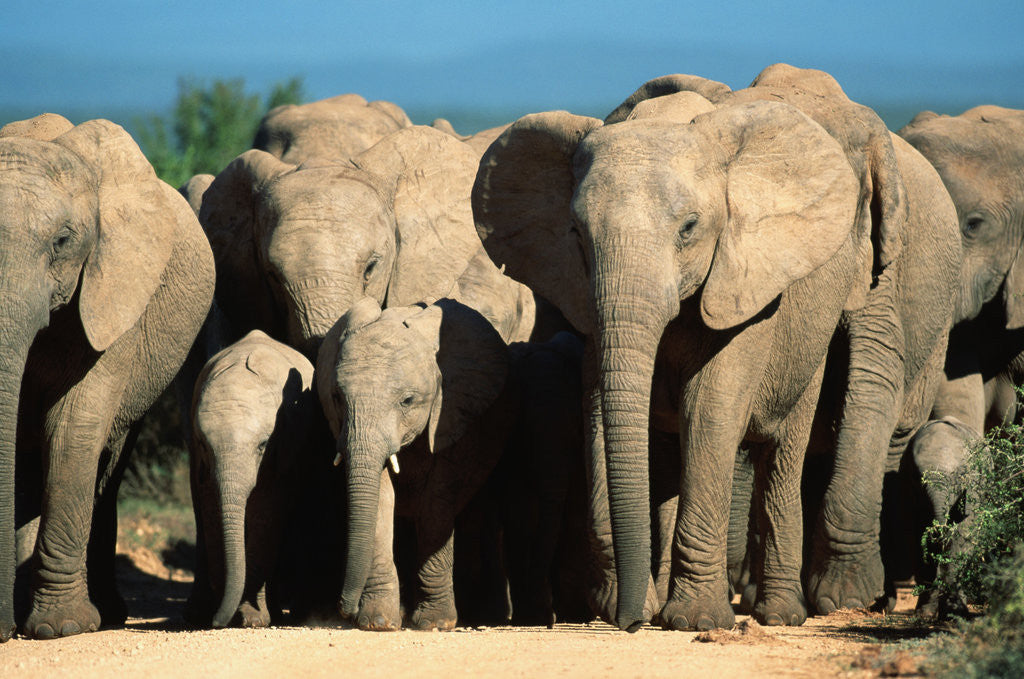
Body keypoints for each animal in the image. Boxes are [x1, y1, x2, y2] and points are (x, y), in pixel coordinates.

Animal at [0, 113, 215, 640]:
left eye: (62, 241)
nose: (3, 628)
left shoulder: (118, 292)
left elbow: (74, 430)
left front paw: (61, 628)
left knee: (106, 464)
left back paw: (107, 614)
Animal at [186, 330, 327, 629]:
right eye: (204, 445)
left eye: (262, 445)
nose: (217, 622)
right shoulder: (199, 456)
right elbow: (210, 507)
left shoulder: (286, 443)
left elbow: (267, 512)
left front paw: (251, 619)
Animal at [316, 297, 519, 630]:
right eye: (337, 398)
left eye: (408, 401)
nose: (343, 610)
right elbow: (382, 496)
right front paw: (379, 622)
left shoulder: (455, 411)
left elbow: (437, 501)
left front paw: (437, 624)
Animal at [472, 64, 960, 631]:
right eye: (575, 232)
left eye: (689, 228)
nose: (628, 622)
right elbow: (597, 409)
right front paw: (631, 607)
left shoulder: (755, 285)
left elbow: (711, 407)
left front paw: (695, 622)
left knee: (787, 450)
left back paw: (786, 613)